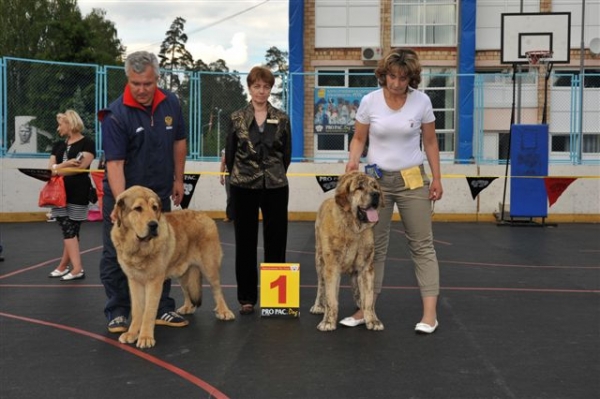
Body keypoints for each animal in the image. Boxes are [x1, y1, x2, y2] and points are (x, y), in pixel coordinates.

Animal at [110, 186, 234, 348]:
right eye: (138, 209)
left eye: (154, 208)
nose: (153, 225)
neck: (139, 248)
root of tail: (204, 215)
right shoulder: (134, 281)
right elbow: (137, 311)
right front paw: (132, 333)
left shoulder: (154, 282)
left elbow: (148, 312)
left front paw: (145, 337)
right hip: (182, 272)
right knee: (188, 291)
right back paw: (188, 307)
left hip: (209, 267)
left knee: (217, 290)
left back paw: (224, 311)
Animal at [310, 171, 384, 332]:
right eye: (359, 188)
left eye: (375, 186)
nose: (376, 194)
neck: (352, 228)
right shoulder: (332, 267)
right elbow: (331, 298)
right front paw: (328, 322)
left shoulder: (366, 268)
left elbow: (368, 298)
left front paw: (372, 320)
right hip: (319, 261)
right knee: (321, 286)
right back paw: (319, 305)